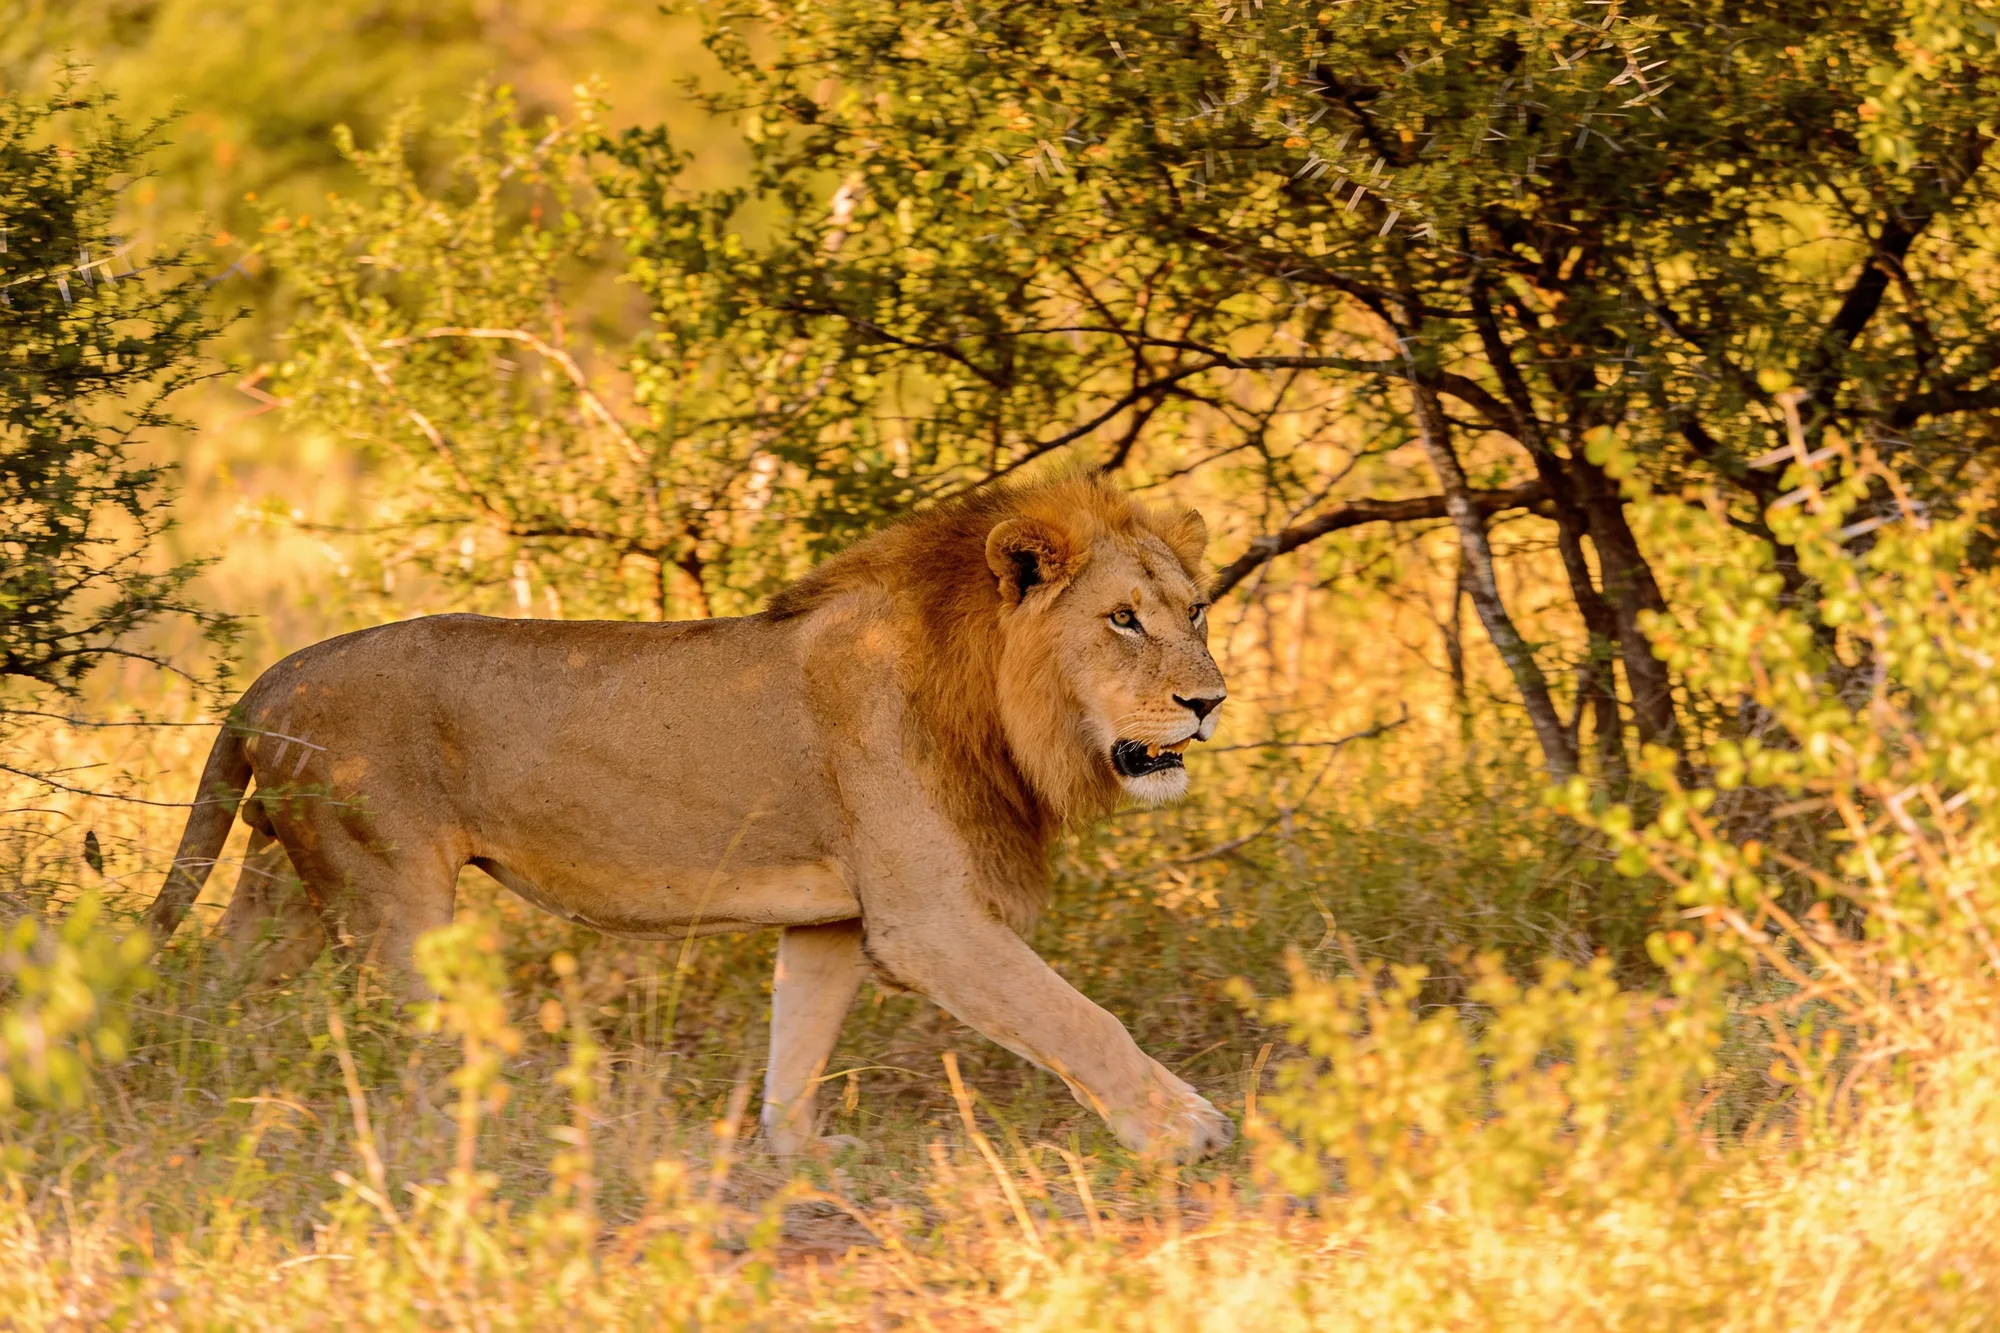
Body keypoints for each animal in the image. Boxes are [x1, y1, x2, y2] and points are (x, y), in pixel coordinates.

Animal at [145, 474, 1233, 1161]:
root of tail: (272, 675)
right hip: (393, 899)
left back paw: (199, 1094)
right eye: (1122, 618)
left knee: (209, 993)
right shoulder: (929, 921)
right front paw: (1184, 1128)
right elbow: (1078, 1019)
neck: (991, 696)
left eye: (1194, 611)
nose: (1209, 701)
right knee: (424, 1044)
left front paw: (797, 1150)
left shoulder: (835, 916)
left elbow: (798, 1039)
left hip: (286, 891)